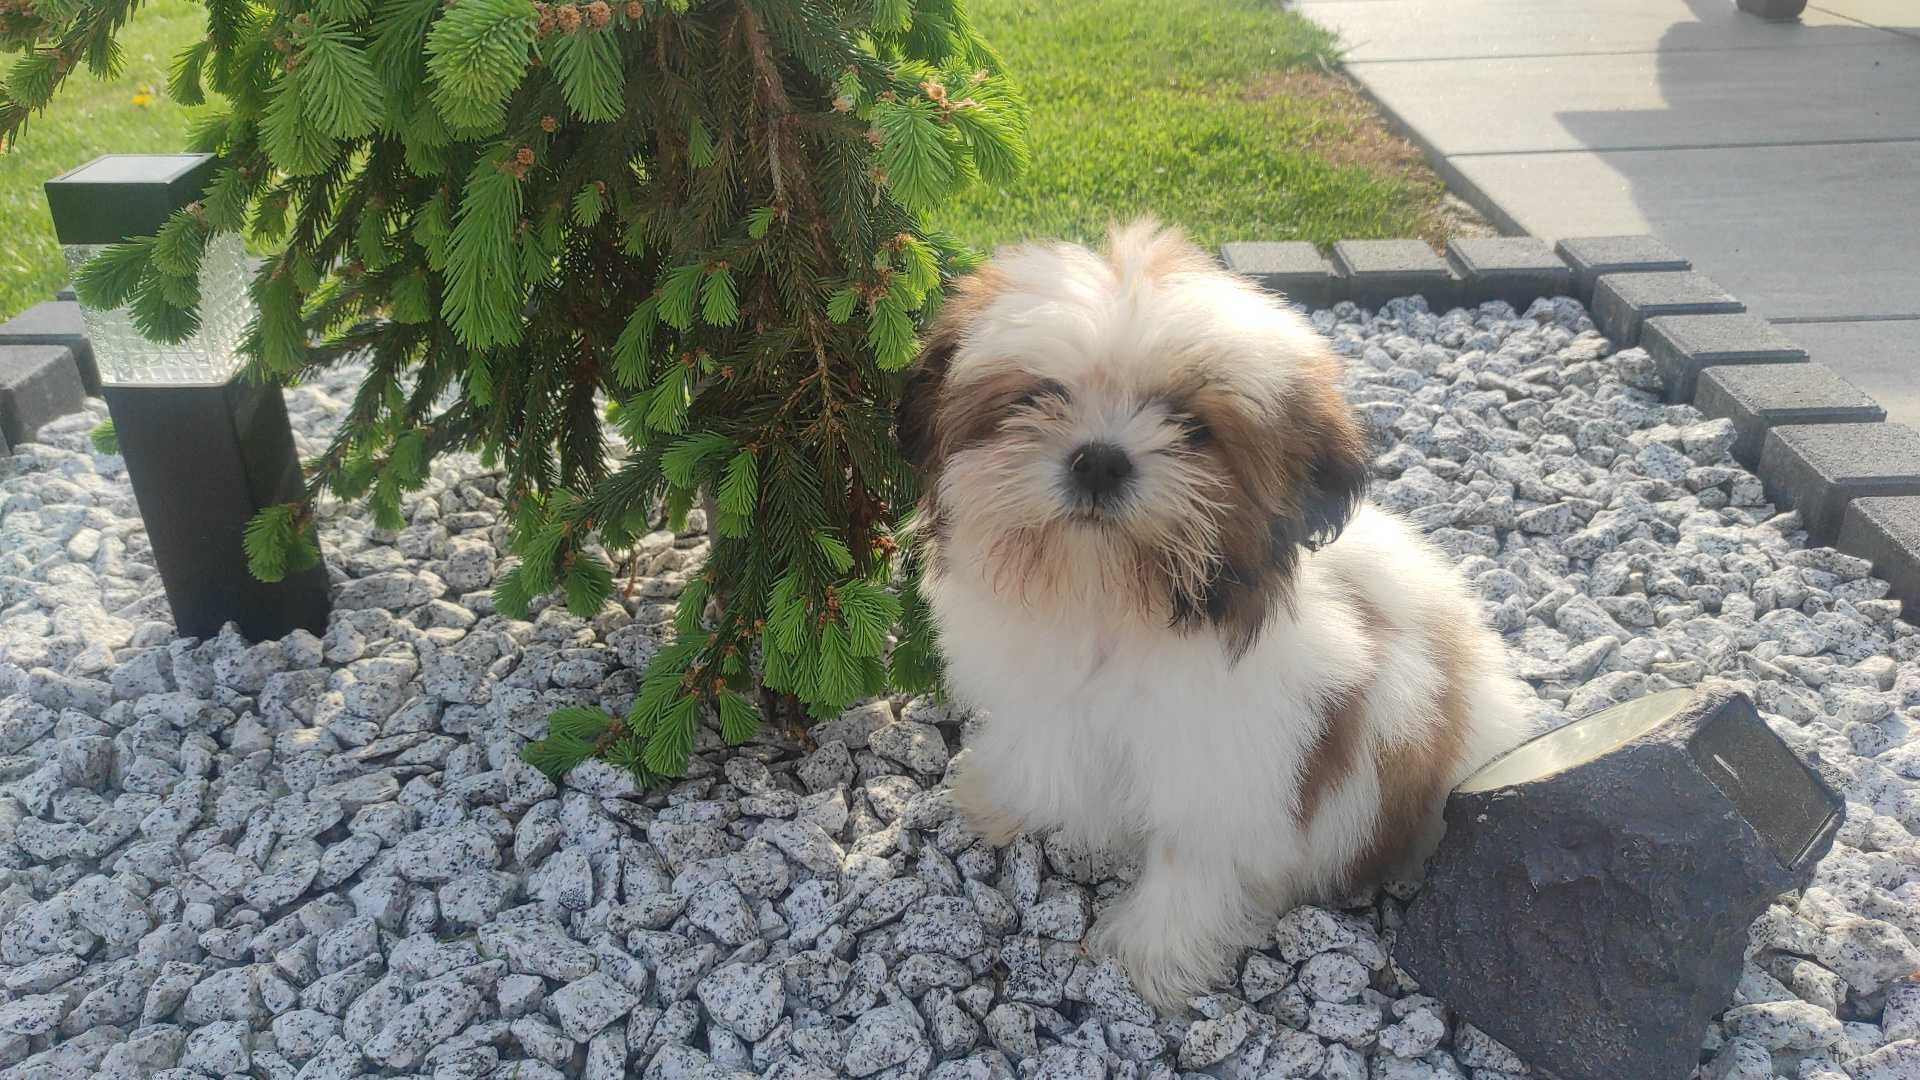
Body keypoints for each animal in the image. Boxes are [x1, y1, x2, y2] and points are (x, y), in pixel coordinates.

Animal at [890, 222, 1536, 1006]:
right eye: (1039, 396)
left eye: (1195, 428)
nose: (1099, 459)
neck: (1109, 602)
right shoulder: (1040, 698)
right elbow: (1036, 749)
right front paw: (1003, 799)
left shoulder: (1226, 760)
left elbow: (1189, 852)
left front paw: (1153, 953)